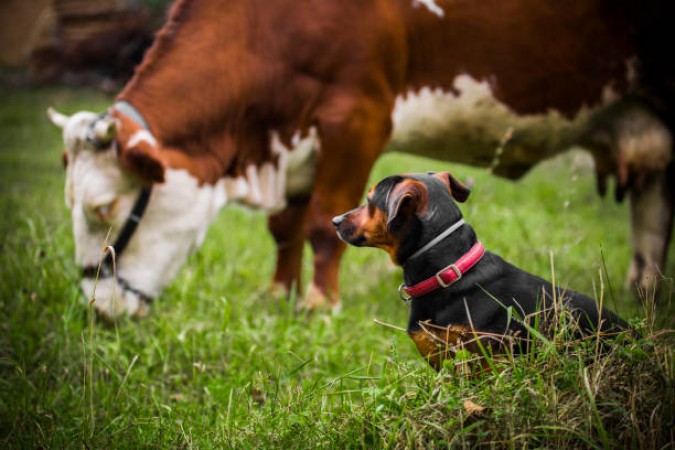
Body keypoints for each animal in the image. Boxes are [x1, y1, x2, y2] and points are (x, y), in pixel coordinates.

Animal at [47, 0, 672, 320]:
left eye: (103, 207)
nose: (95, 307)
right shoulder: (296, 135)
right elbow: (284, 227)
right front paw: (278, 293)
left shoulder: (357, 115)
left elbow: (323, 222)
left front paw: (319, 303)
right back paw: (644, 293)